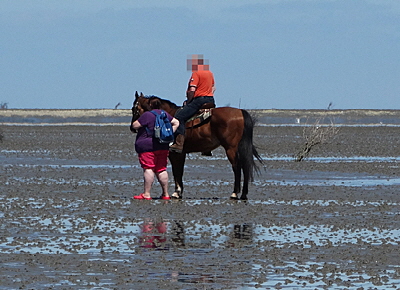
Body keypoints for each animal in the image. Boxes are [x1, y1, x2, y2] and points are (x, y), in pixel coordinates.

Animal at [130, 92, 262, 201]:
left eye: (134, 108)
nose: (132, 127)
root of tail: (240, 112)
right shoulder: (181, 153)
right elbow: (180, 171)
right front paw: (179, 192)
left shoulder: (174, 153)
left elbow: (176, 171)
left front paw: (176, 192)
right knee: (245, 166)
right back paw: (244, 194)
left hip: (231, 149)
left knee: (237, 167)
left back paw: (234, 193)